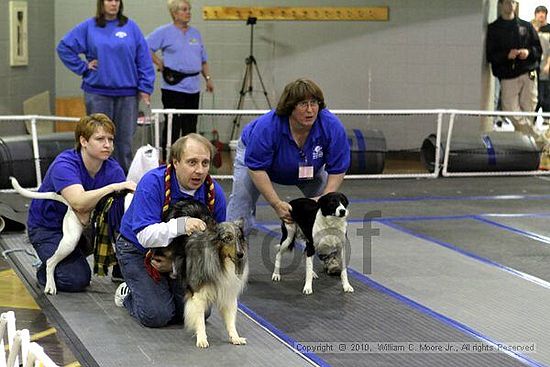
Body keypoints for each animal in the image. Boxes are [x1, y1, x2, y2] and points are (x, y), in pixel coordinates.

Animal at [163, 200, 249, 350]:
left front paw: (235, 338)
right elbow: (200, 320)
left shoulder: (228, 292)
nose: (240, 254)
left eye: (239, 238)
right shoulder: (198, 295)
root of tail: (185, 200)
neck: (221, 262)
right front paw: (202, 339)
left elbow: (231, 319)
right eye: (227, 238)